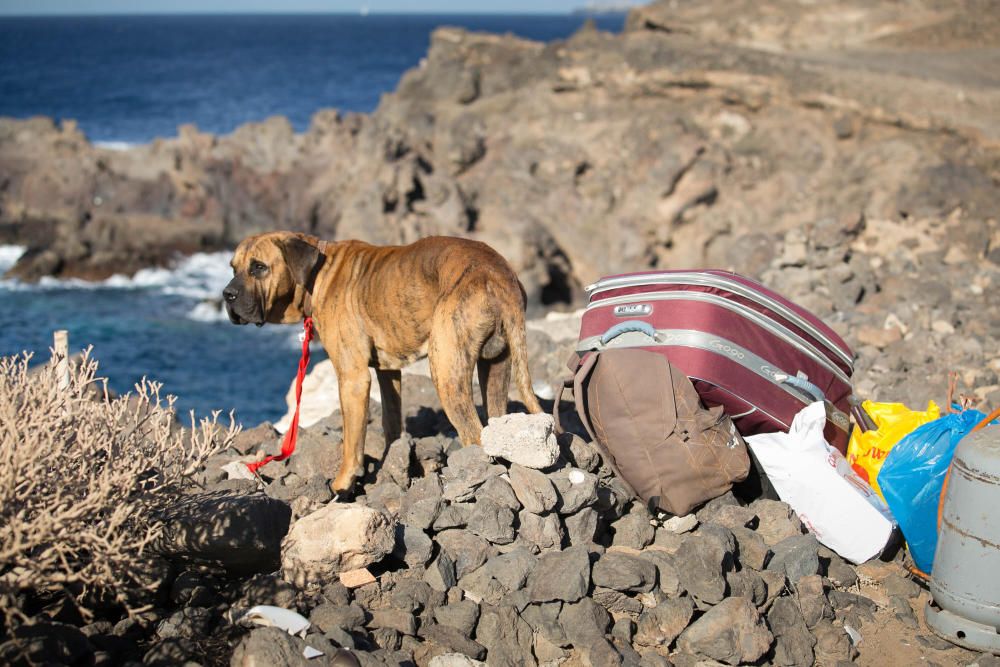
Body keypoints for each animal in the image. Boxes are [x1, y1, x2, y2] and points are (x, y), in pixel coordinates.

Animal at [224, 232, 544, 494]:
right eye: (233, 267)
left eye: (258, 267)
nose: (227, 295)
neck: (318, 273)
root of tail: (497, 274)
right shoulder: (388, 372)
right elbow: (391, 420)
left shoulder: (352, 378)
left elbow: (351, 441)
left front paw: (343, 483)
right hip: (496, 367)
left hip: (446, 371)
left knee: (475, 435)